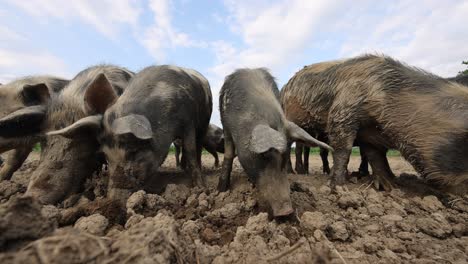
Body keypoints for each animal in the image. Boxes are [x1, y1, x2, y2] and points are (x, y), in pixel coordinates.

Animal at [47, 65, 212, 202]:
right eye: (106, 156)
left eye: (133, 151)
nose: (114, 200)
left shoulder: (188, 121)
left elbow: (190, 151)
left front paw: (201, 189)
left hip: (204, 121)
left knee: (197, 147)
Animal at [219, 68, 332, 217]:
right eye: (264, 155)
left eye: (286, 156)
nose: (287, 211)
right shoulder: (226, 125)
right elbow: (229, 154)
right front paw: (221, 190)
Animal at [280, 54, 468, 194]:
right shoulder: (343, 111)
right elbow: (343, 149)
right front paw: (338, 188)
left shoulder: (370, 134)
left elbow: (376, 156)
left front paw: (392, 187)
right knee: (293, 147)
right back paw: (294, 172)